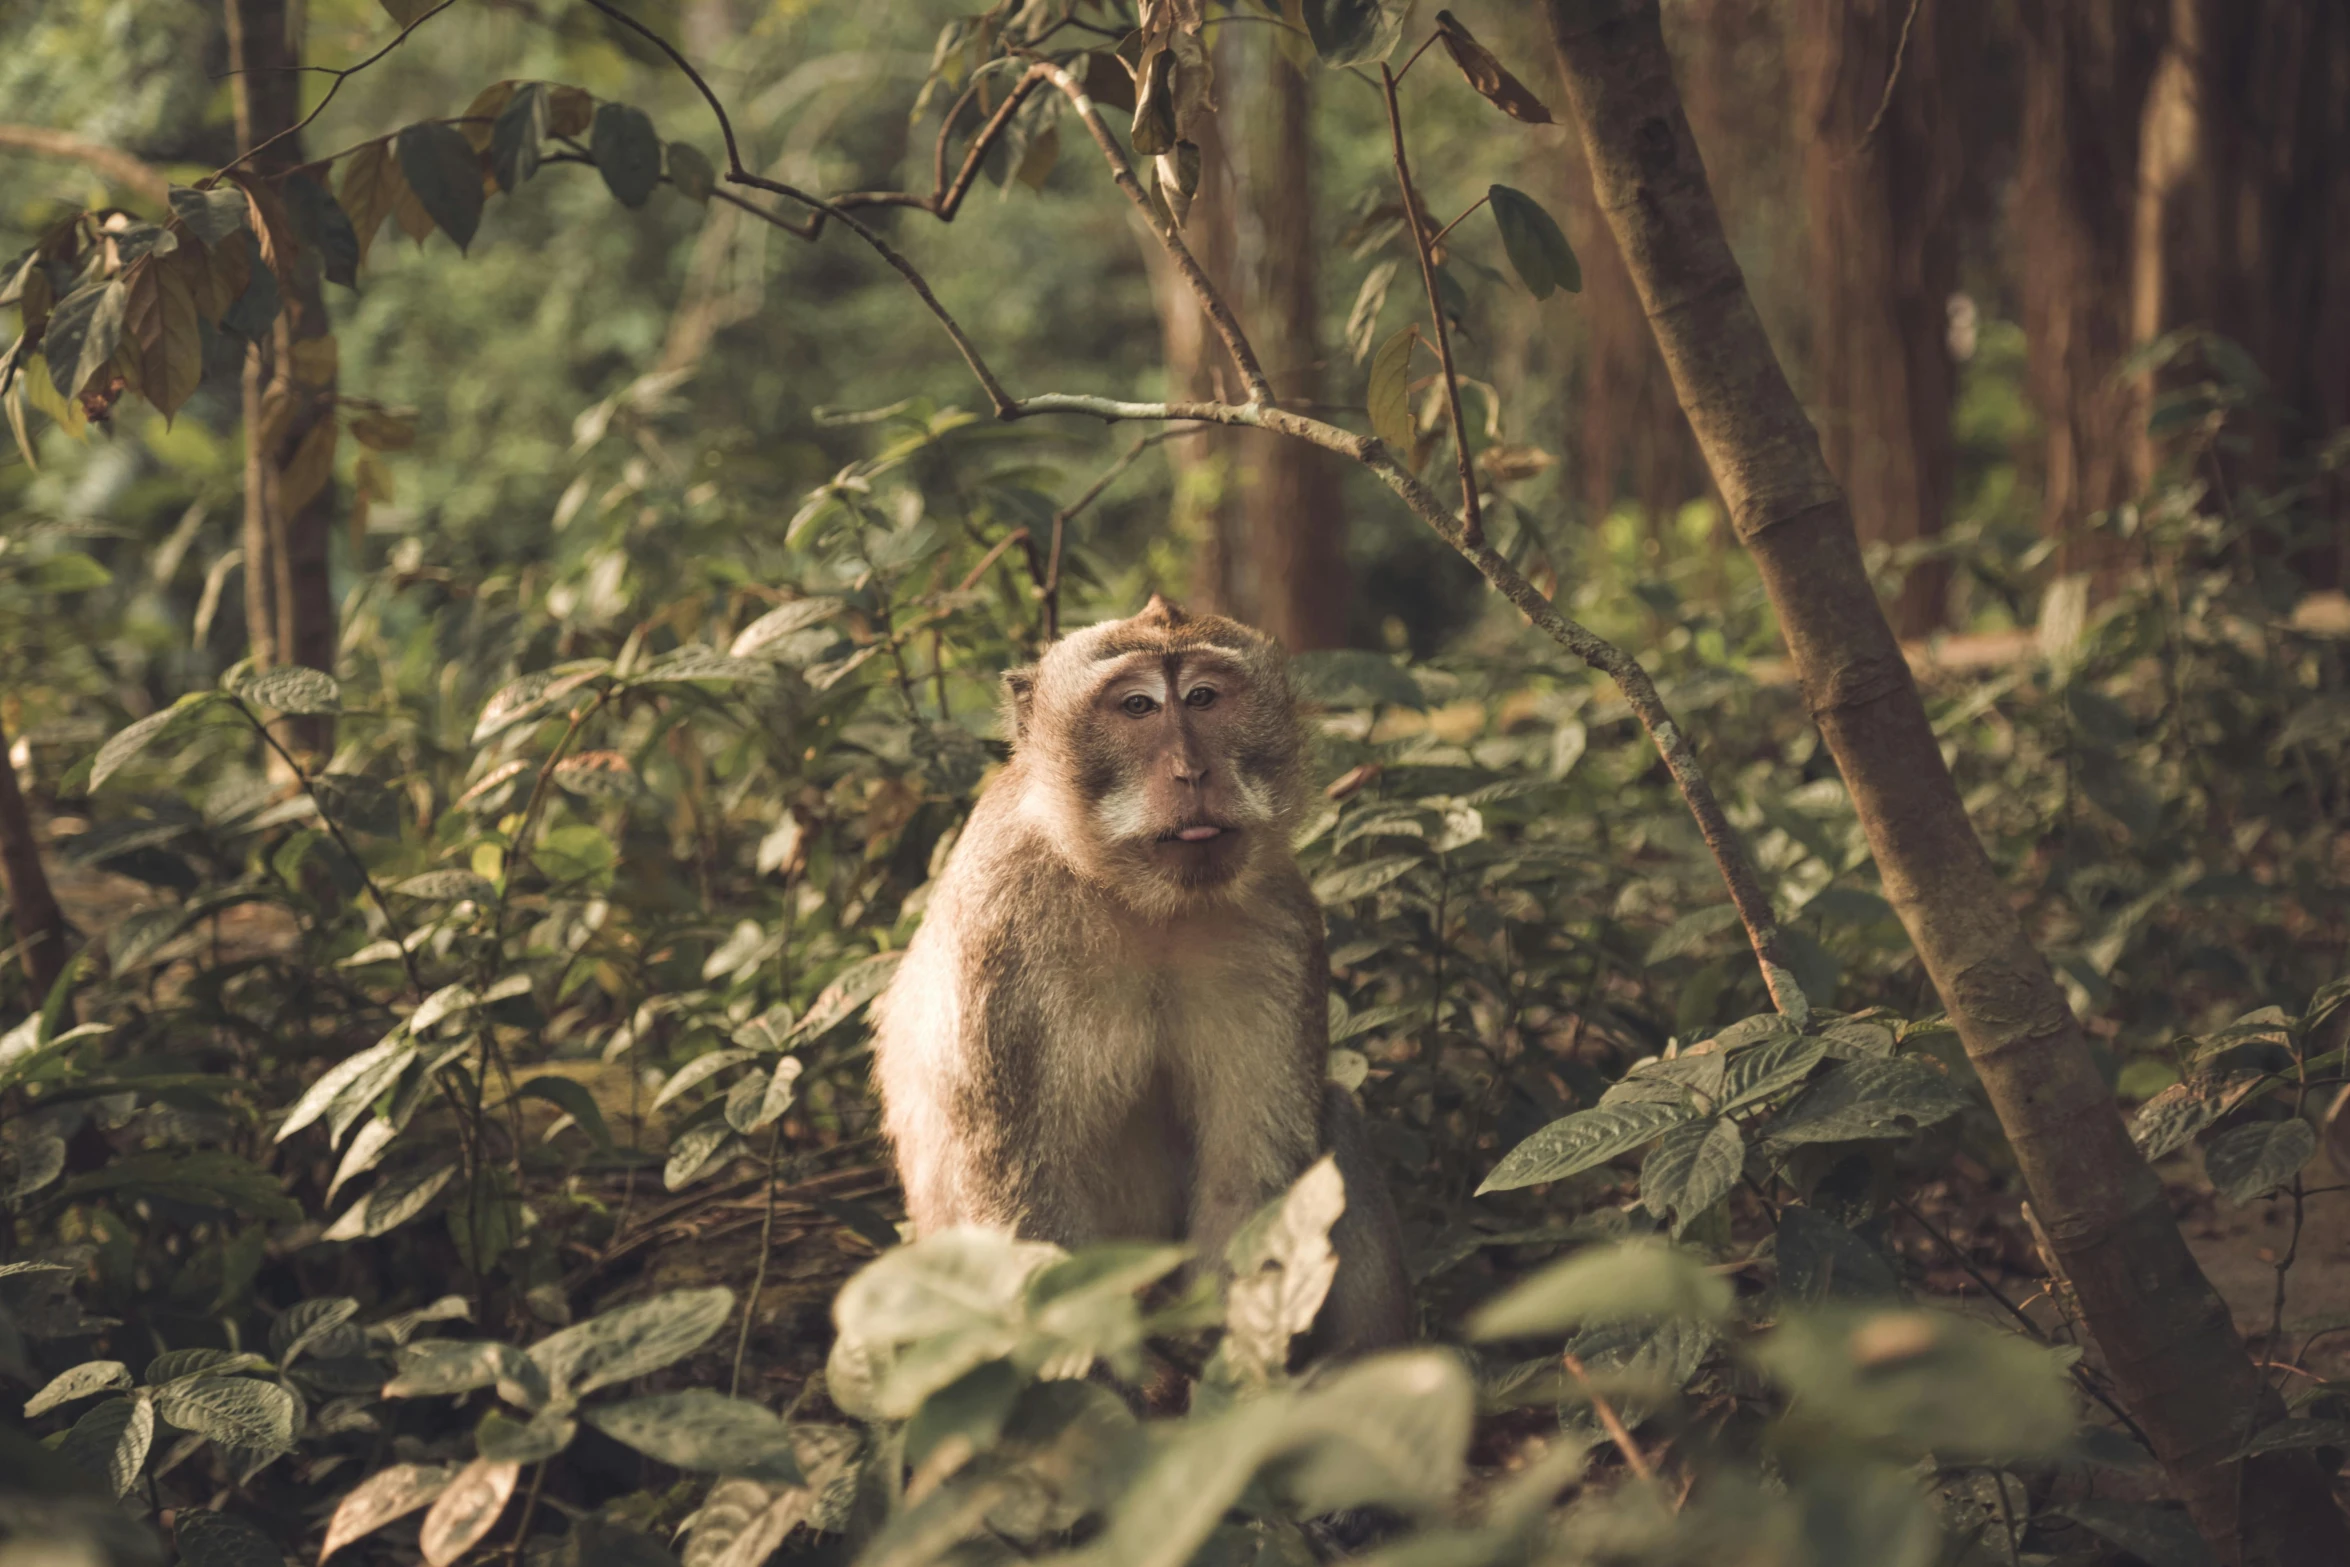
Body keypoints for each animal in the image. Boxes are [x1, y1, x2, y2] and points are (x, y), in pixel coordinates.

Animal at [869, 594, 1400, 1353]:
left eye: (1204, 697)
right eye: (1137, 706)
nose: (1191, 772)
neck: (1144, 902)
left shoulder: (1280, 921)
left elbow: (1248, 1174)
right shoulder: (998, 924)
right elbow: (1015, 1182)